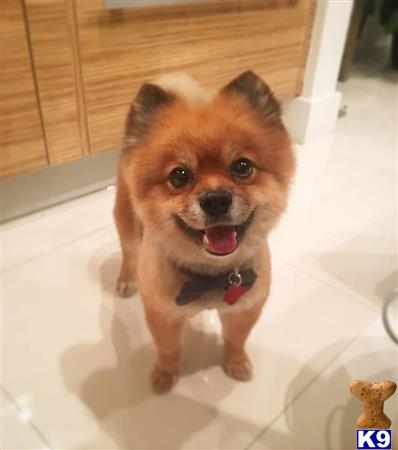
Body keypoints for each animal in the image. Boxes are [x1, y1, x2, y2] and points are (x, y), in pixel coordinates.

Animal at [113, 71, 294, 394]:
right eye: (179, 175)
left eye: (242, 166)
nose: (216, 200)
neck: (211, 276)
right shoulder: (163, 313)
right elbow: (169, 349)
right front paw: (165, 374)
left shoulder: (245, 308)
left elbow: (236, 341)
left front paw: (235, 363)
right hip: (126, 220)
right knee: (129, 252)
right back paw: (126, 280)